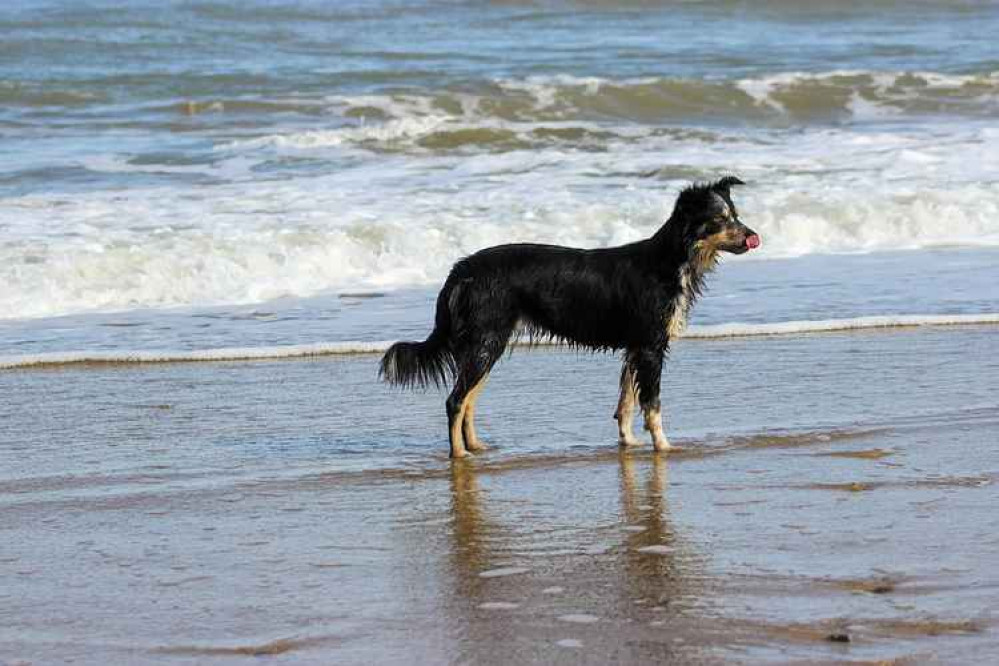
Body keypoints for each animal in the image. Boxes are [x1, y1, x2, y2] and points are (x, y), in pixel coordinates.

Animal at [380, 176, 756, 456]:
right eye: (719, 220)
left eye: (736, 215)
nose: (753, 236)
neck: (671, 260)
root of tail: (460, 270)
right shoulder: (650, 346)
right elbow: (652, 404)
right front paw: (663, 446)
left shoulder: (635, 346)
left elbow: (626, 401)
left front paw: (628, 442)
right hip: (486, 340)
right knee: (455, 400)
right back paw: (459, 455)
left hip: (485, 342)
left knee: (468, 400)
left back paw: (476, 447)